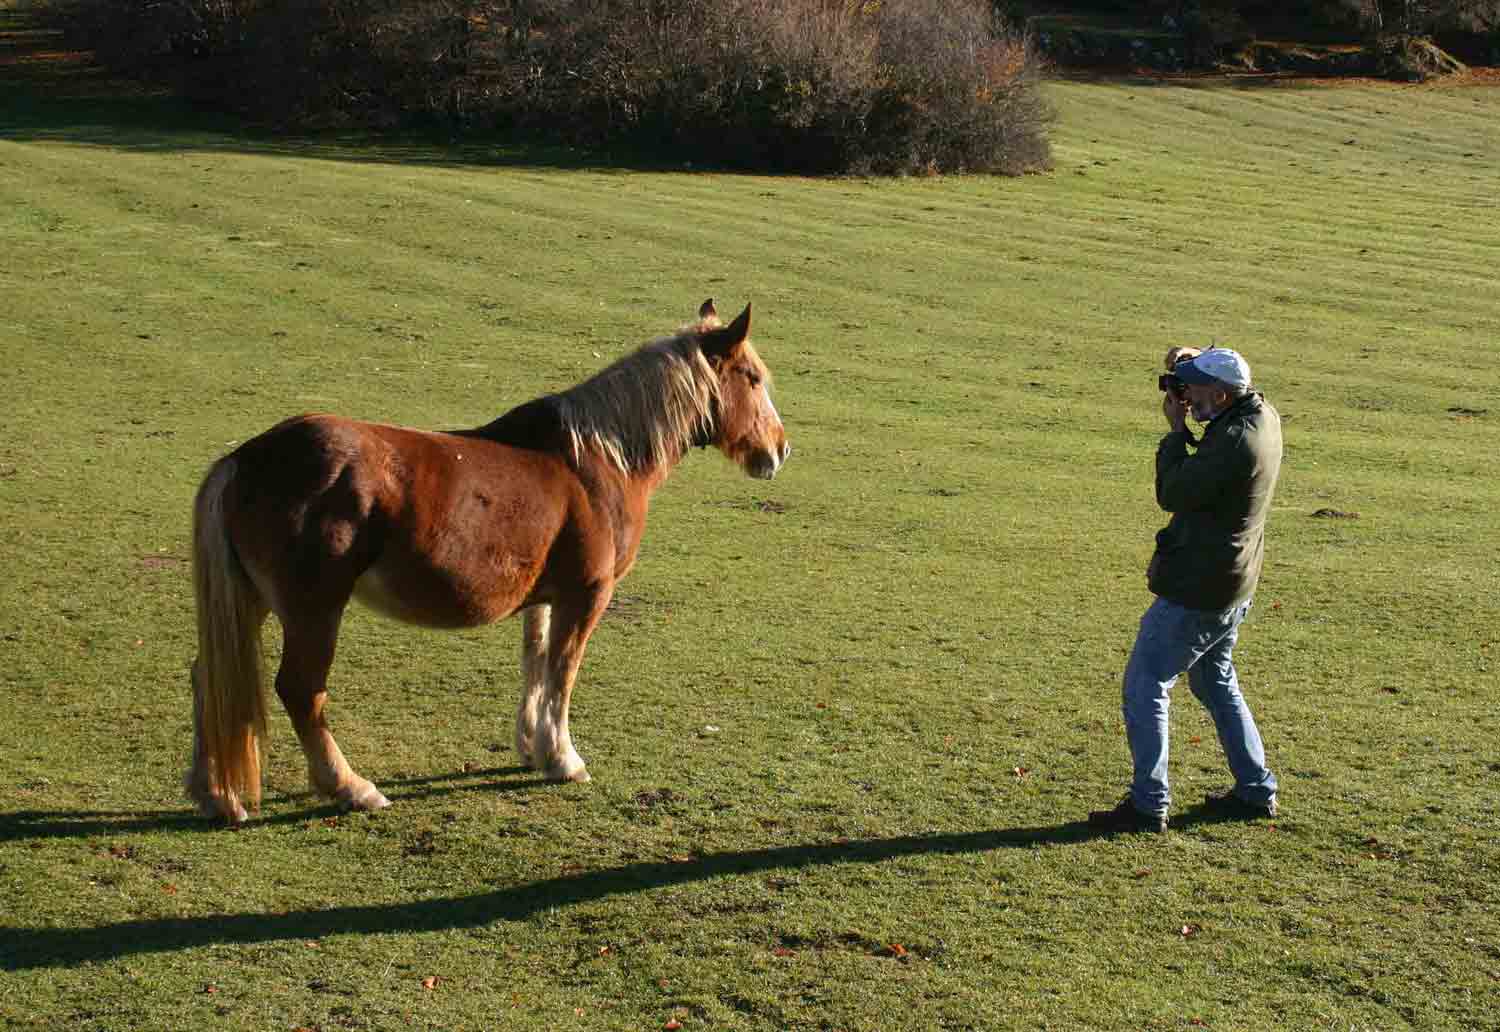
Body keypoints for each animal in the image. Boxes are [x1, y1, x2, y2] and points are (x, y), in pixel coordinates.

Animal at [189, 298, 792, 822]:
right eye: (752, 378)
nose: (780, 449)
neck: (597, 461)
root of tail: (247, 458)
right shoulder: (587, 594)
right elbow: (563, 671)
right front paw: (563, 758)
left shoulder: (547, 597)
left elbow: (536, 663)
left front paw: (532, 747)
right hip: (314, 611)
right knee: (301, 691)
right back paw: (351, 788)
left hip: (252, 601)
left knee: (208, 677)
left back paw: (216, 794)